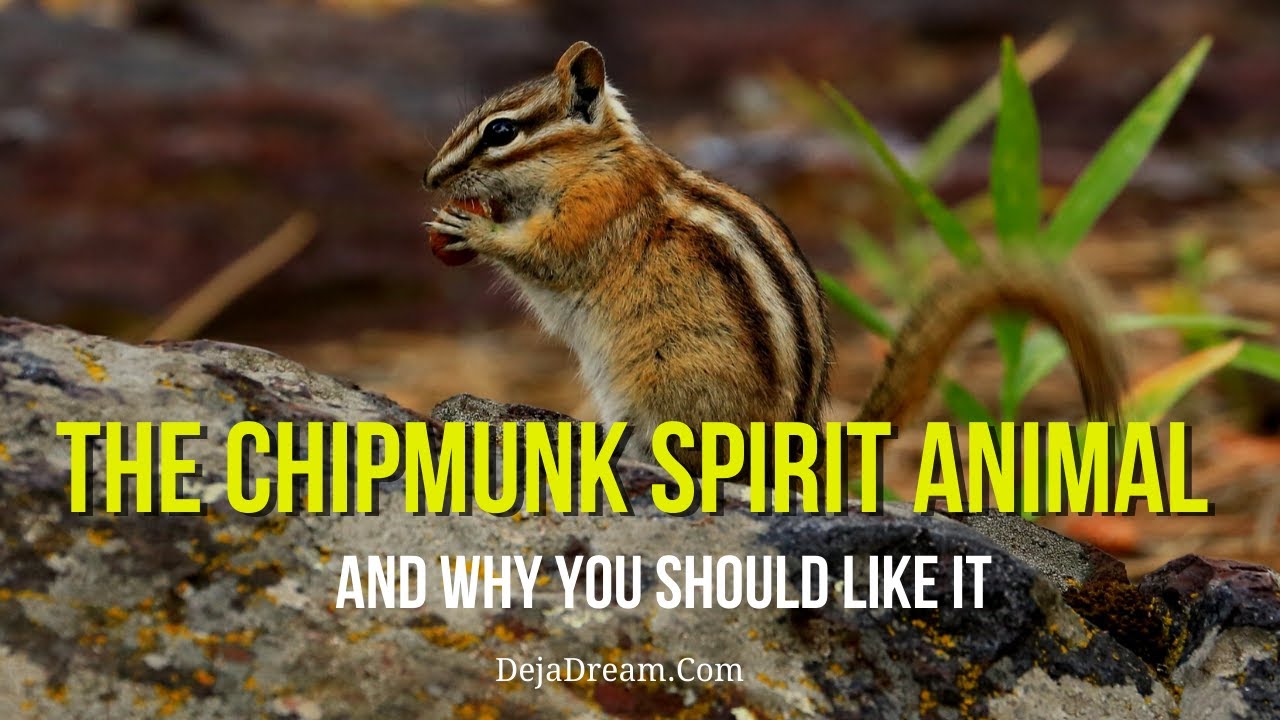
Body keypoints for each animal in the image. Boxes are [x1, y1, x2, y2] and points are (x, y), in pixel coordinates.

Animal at [423, 41, 1126, 465]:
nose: (431, 178)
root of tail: (797, 446)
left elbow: (550, 257)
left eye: (501, 131)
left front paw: (473, 231)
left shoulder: (598, 212)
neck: (599, 159)